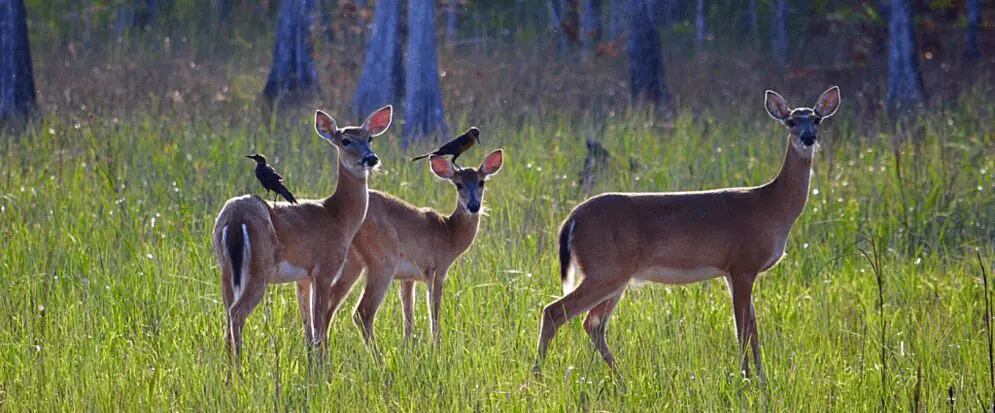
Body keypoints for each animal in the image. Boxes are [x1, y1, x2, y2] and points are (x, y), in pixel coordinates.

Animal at [211, 104, 392, 358]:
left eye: (370, 138)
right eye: (345, 140)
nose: (371, 158)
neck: (338, 216)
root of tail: (235, 217)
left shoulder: (303, 276)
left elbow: (307, 325)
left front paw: (311, 361)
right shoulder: (325, 268)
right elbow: (320, 325)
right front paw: (323, 363)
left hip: (225, 268)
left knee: (227, 312)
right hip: (259, 268)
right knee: (237, 313)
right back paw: (238, 366)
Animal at [300, 148, 506, 344]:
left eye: (482, 182)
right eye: (458, 184)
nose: (474, 206)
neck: (449, 232)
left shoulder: (408, 277)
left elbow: (408, 318)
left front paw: (409, 350)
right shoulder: (437, 269)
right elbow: (434, 315)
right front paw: (437, 348)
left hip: (352, 262)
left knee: (328, 308)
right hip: (383, 260)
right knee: (362, 312)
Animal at [536, 86, 840, 380]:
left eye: (817, 119)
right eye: (790, 121)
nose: (808, 138)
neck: (772, 206)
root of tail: (571, 219)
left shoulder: (734, 271)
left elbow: (752, 329)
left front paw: (762, 380)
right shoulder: (743, 264)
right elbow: (742, 330)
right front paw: (746, 380)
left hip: (614, 276)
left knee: (592, 324)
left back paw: (621, 379)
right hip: (605, 270)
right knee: (555, 312)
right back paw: (538, 377)